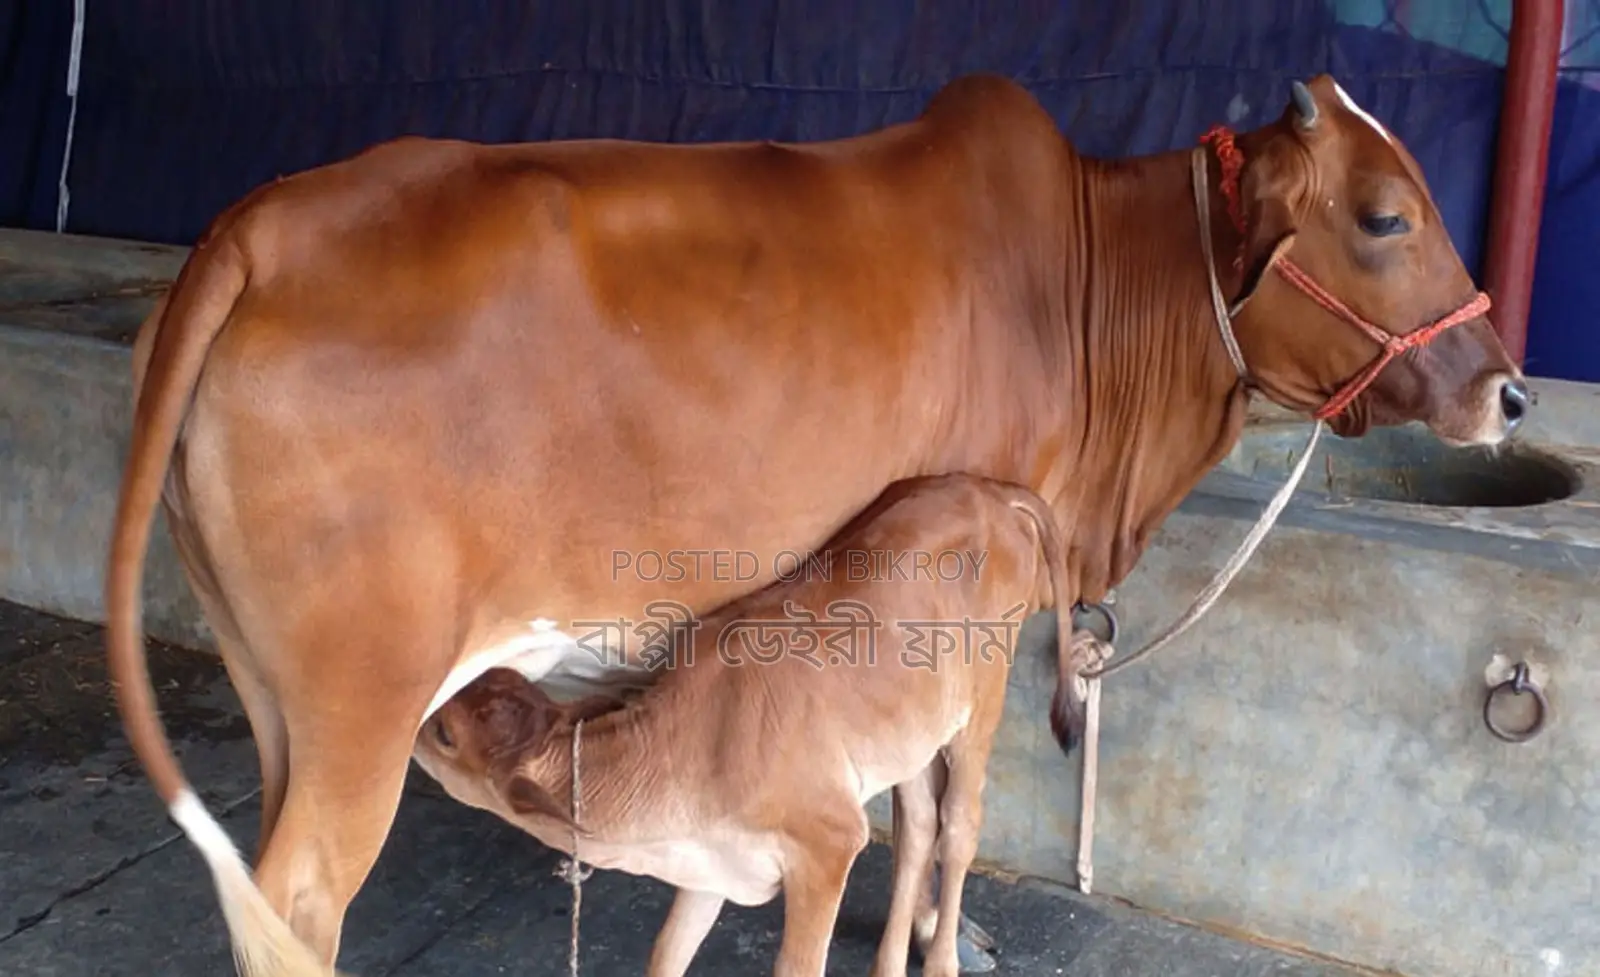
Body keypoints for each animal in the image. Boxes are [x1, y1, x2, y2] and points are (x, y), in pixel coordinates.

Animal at [410, 472, 1074, 977]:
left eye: (446, 735)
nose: (417, 716)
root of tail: (988, 490)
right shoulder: (710, 862)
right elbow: (666, 954)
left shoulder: (830, 842)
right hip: (909, 733)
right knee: (917, 828)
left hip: (982, 704)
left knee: (959, 827)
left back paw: (941, 964)